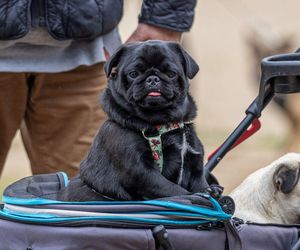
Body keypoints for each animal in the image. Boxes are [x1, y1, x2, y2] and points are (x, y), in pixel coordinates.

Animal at [58, 40, 213, 201]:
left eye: (171, 74)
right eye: (133, 74)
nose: (153, 78)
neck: (163, 124)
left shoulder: (195, 166)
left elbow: (201, 186)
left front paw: (213, 192)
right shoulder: (141, 172)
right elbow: (175, 190)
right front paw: (196, 197)